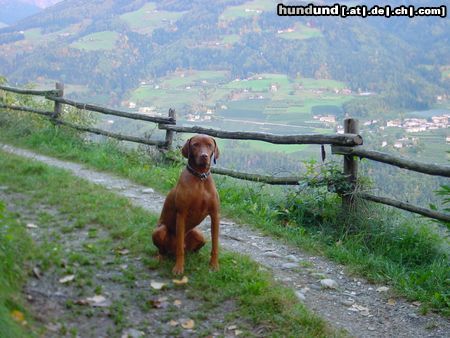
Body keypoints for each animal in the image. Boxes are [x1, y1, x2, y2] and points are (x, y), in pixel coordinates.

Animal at [152, 133, 221, 274]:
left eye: (209, 145)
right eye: (195, 145)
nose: (204, 156)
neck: (200, 178)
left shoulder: (215, 215)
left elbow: (215, 244)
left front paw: (214, 265)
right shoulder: (181, 214)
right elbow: (180, 248)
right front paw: (179, 268)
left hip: (199, 234)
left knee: (191, 249)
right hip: (159, 230)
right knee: (166, 249)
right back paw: (160, 257)